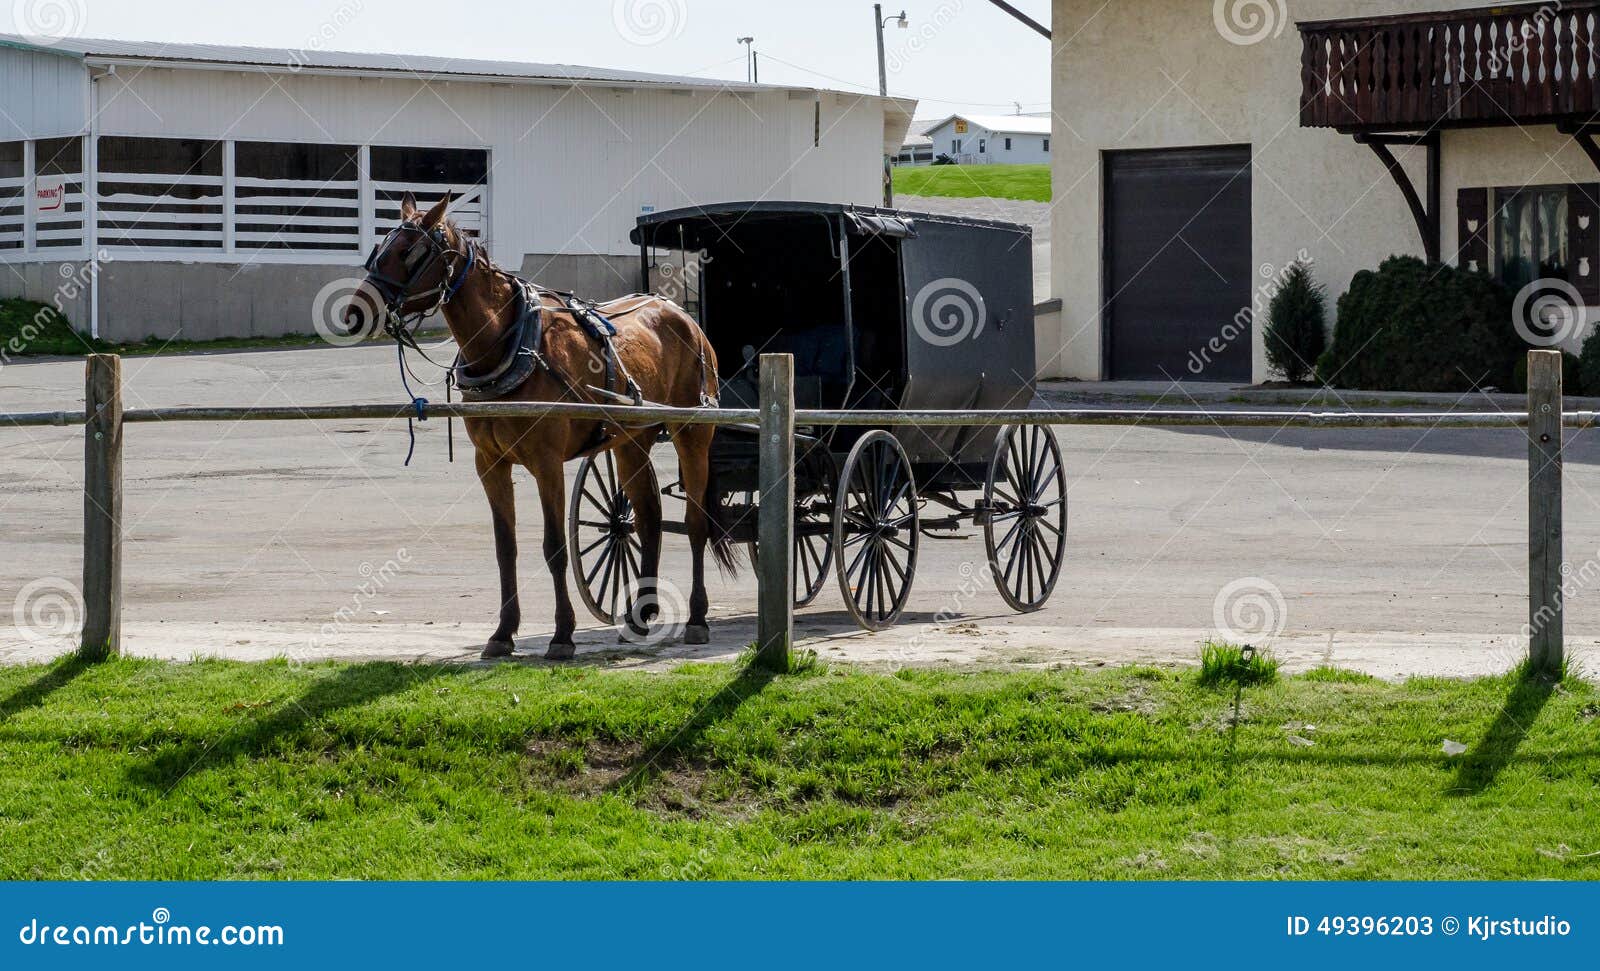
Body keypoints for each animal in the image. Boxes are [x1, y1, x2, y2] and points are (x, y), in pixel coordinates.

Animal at [347, 191, 732, 662]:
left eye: (410, 252)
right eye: (380, 248)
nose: (355, 311)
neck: (512, 346)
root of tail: (680, 313)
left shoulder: (547, 463)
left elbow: (554, 548)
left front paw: (562, 634)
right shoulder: (490, 464)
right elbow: (505, 549)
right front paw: (502, 632)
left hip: (692, 433)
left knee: (696, 523)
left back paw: (696, 617)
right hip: (631, 441)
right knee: (648, 517)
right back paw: (640, 615)